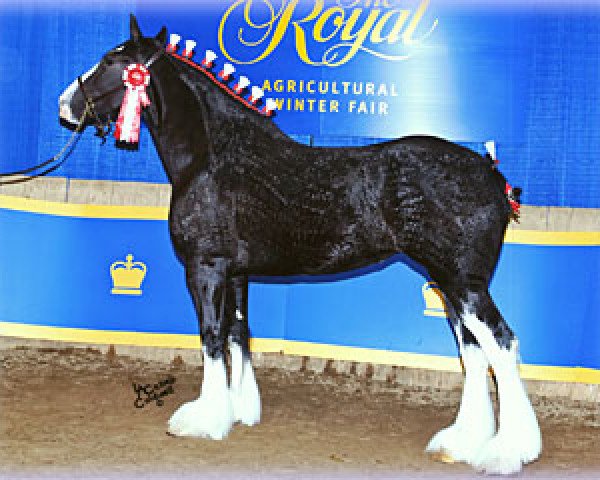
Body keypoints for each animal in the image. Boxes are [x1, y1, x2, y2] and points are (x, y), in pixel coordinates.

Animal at [58, 16, 540, 474]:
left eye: (111, 61)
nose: (66, 104)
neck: (215, 157)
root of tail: (491, 174)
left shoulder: (206, 266)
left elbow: (211, 336)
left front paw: (205, 420)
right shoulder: (236, 272)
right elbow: (238, 332)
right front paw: (240, 411)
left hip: (463, 283)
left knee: (501, 343)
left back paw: (507, 452)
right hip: (451, 285)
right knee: (473, 350)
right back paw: (463, 441)